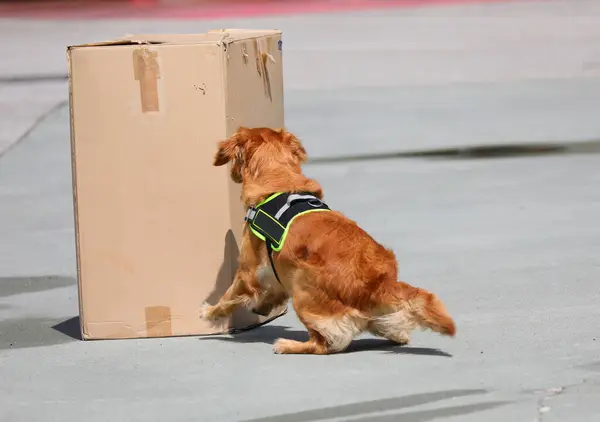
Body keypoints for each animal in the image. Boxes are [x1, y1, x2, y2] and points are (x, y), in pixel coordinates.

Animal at [199, 127, 458, 354]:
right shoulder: (276, 271)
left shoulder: (249, 270)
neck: (280, 182)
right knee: (395, 331)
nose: (259, 311)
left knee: (326, 344)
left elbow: (229, 295)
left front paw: (210, 312)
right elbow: (271, 290)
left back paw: (288, 345)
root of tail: (378, 283)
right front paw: (261, 306)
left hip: (302, 285)